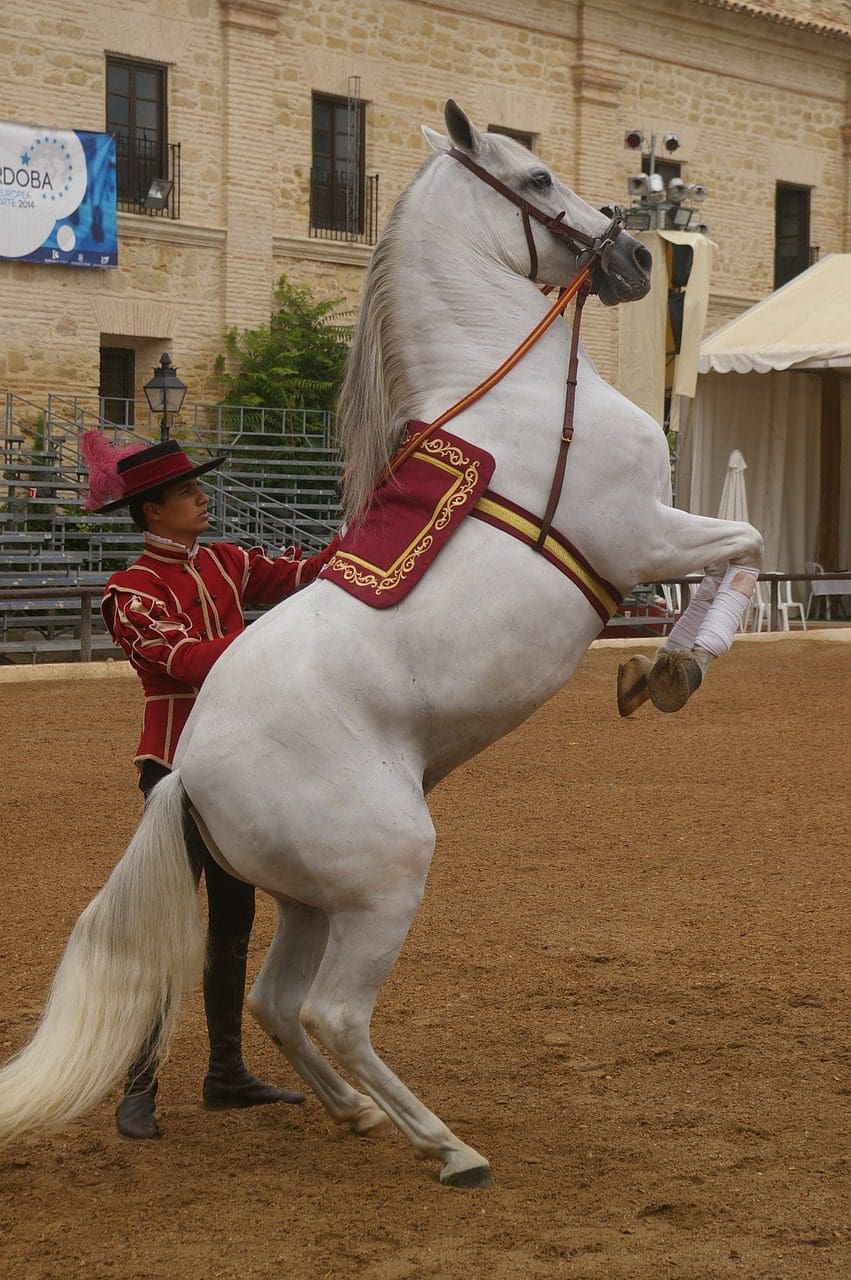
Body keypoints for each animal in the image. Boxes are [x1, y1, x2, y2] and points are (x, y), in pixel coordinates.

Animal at [0, 102, 757, 1187]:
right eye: (535, 175)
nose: (629, 262)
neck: (520, 400)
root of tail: (185, 772)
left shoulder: (650, 539)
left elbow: (733, 561)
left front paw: (654, 669)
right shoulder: (644, 533)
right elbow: (745, 549)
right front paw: (670, 669)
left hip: (314, 899)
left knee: (272, 1000)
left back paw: (355, 1112)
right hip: (386, 878)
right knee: (331, 1011)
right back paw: (445, 1146)